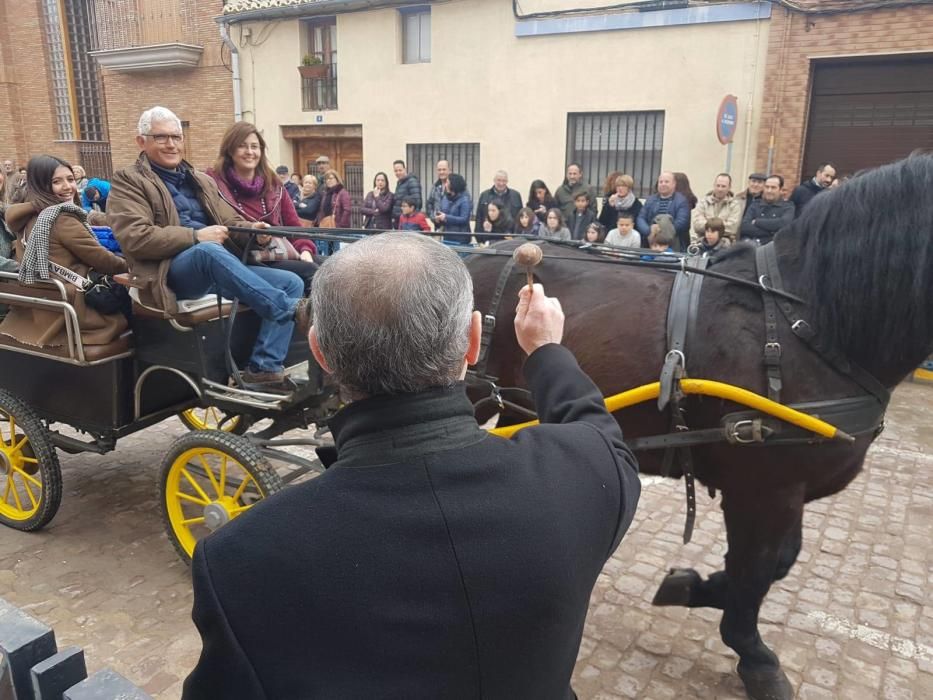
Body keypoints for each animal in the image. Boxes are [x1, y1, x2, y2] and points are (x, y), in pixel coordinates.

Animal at [466, 154, 932, 700]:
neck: (804, 321)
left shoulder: (784, 487)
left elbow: (774, 562)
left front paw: (693, 587)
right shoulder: (763, 487)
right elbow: (757, 569)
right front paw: (752, 653)